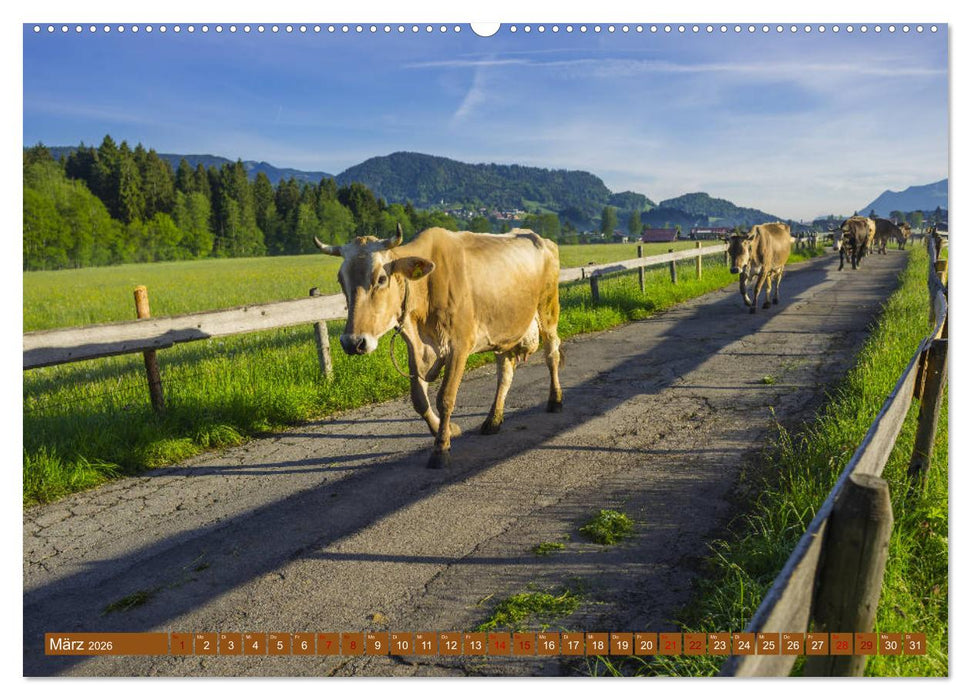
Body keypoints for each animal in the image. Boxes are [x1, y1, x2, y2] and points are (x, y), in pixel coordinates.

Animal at [315, 224, 564, 469]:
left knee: (552, 354)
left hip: (548, 310)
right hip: (504, 331)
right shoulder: (415, 350)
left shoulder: (459, 346)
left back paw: (555, 400)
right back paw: (493, 419)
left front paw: (441, 448)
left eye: (381, 278)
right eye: (341, 280)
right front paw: (446, 430)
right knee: (505, 372)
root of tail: (539, 237)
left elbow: (445, 398)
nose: (353, 342)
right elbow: (419, 399)